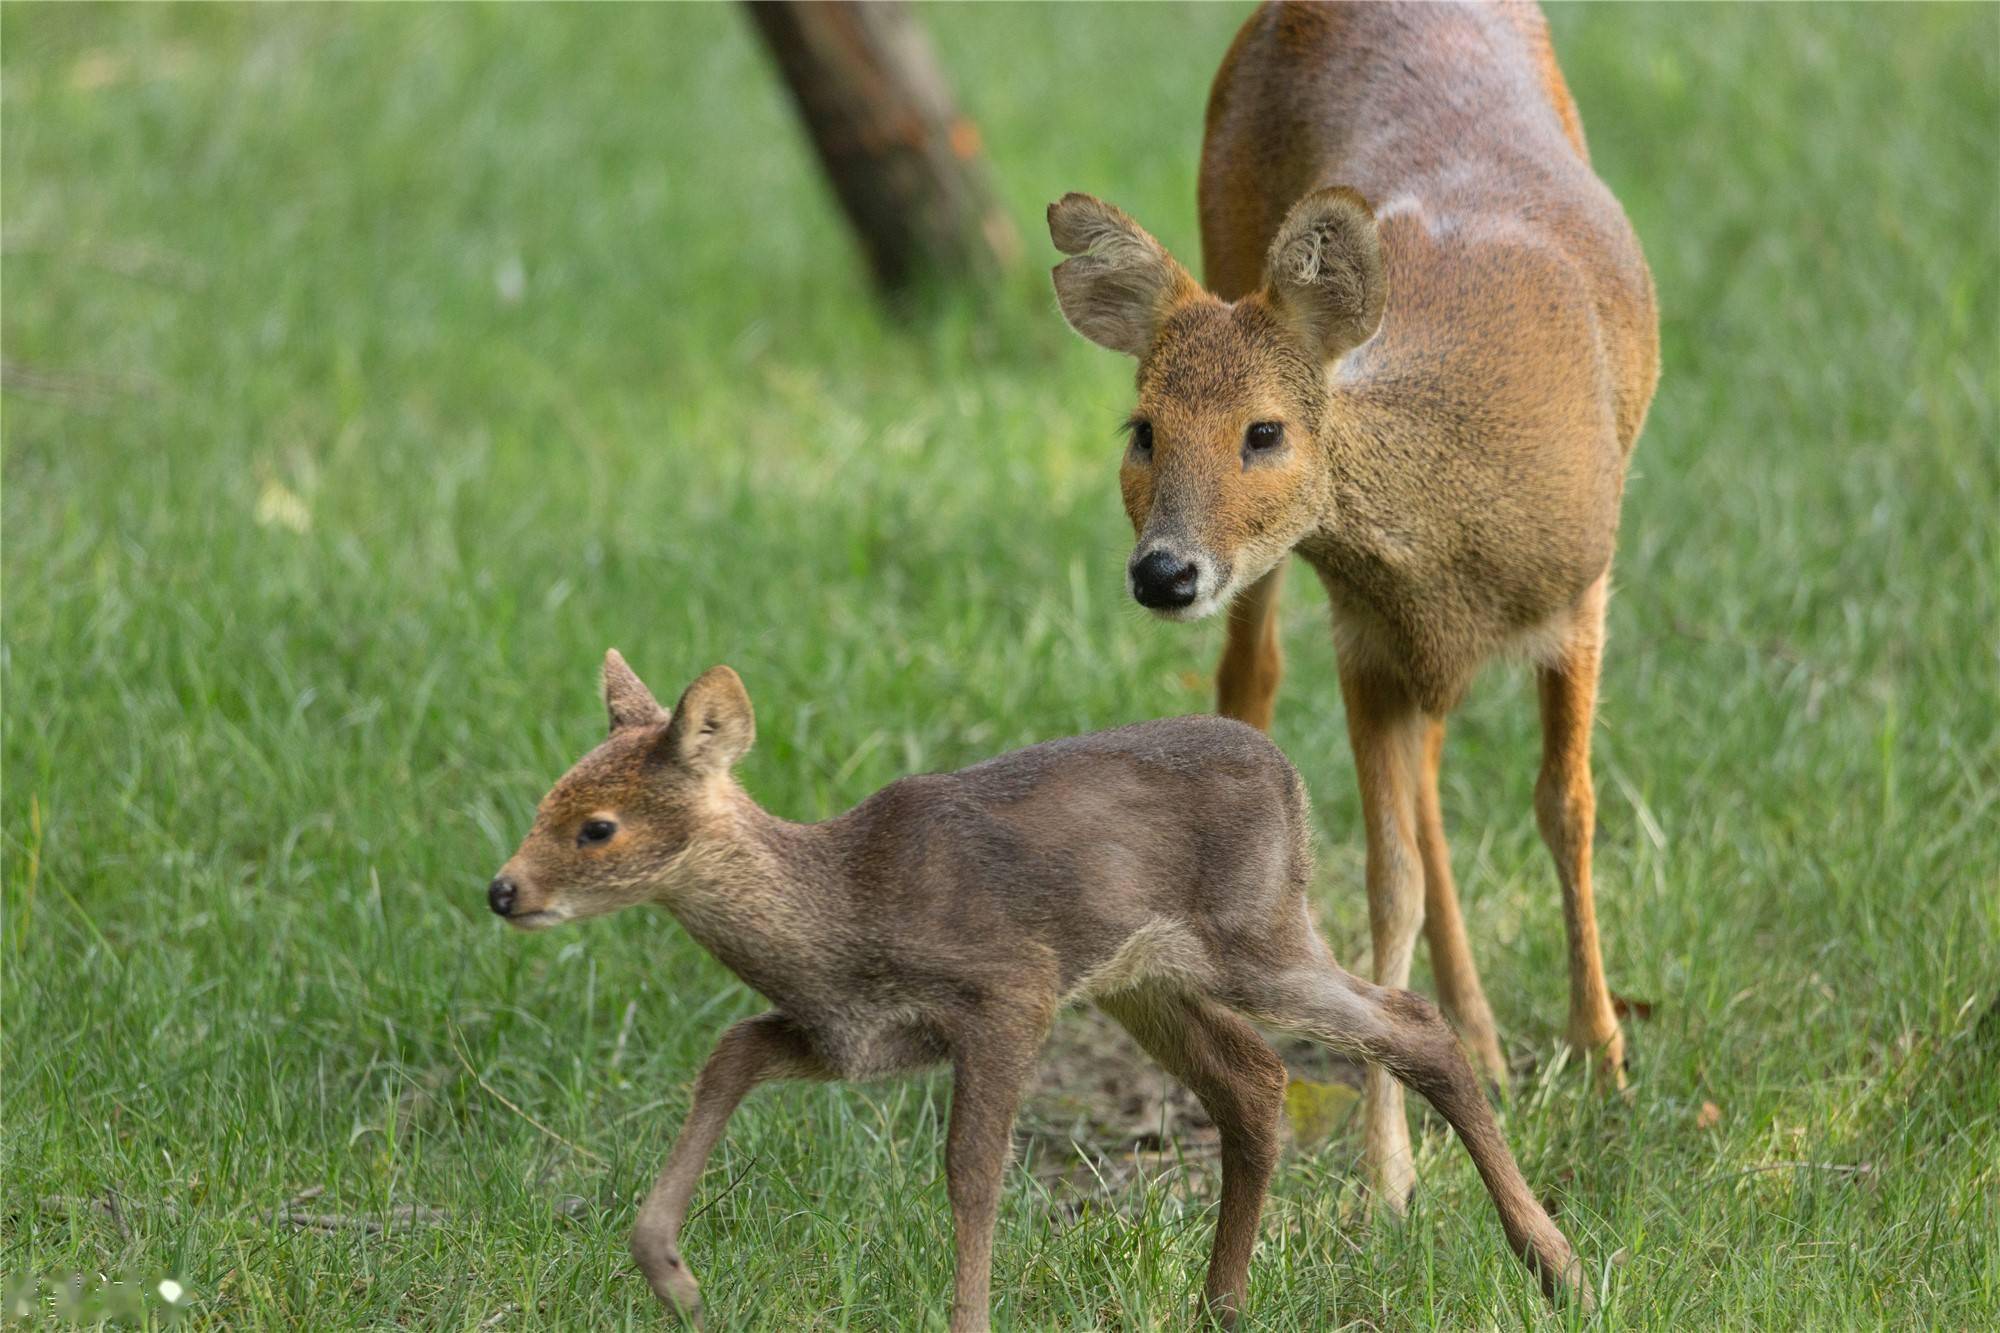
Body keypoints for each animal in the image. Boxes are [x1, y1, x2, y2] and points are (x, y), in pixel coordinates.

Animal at [1048, 0, 1656, 1200]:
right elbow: (1390, 881)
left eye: (1264, 430)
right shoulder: (1367, 638)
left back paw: (1486, 1037)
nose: (1161, 572)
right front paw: (1392, 1173)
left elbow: (1566, 809)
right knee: (1255, 682)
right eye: (1141, 430)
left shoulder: (1579, 595)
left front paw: (1605, 1060)